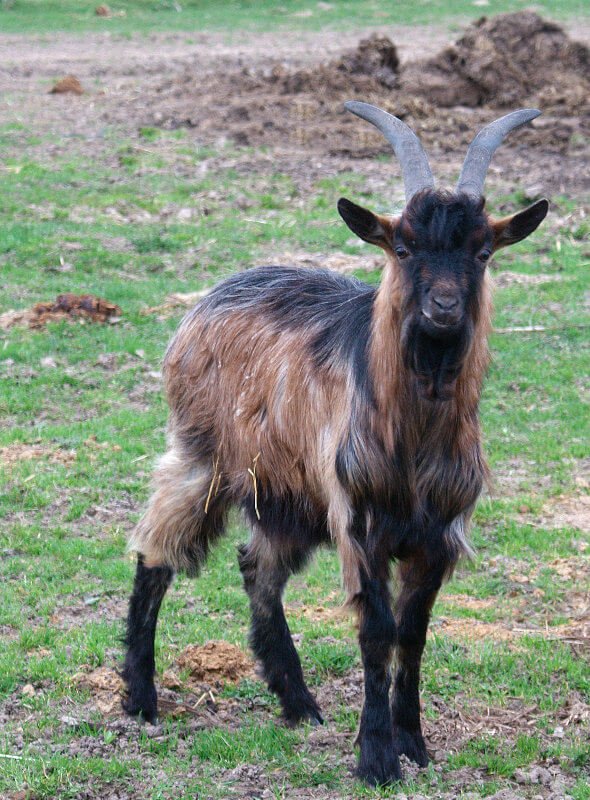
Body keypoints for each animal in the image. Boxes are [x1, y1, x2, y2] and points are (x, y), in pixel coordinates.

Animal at [122, 103, 552, 784]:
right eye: (403, 247)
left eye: (482, 251)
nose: (444, 307)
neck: (413, 441)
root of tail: (208, 300)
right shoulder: (361, 523)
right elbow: (376, 631)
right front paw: (376, 756)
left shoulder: (438, 535)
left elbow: (413, 634)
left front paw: (414, 744)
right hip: (202, 456)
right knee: (155, 551)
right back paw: (140, 699)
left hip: (285, 492)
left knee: (257, 569)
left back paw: (298, 702)